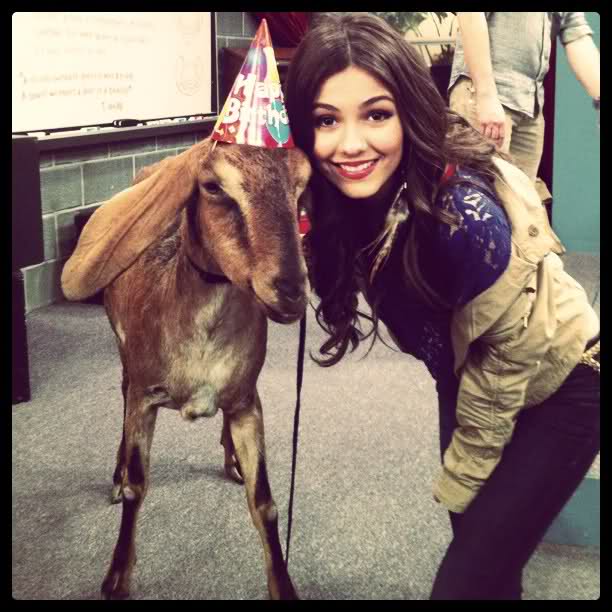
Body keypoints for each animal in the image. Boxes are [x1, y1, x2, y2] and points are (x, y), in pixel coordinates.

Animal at [61, 137, 311, 600]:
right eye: (212, 186)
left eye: (301, 184)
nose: (290, 291)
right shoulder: (145, 394)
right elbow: (137, 487)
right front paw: (116, 578)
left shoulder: (247, 399)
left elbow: (264, 502)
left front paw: (284, 587)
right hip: (123, 356)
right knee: (121, 395)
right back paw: (115, 474)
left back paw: (231, 460)